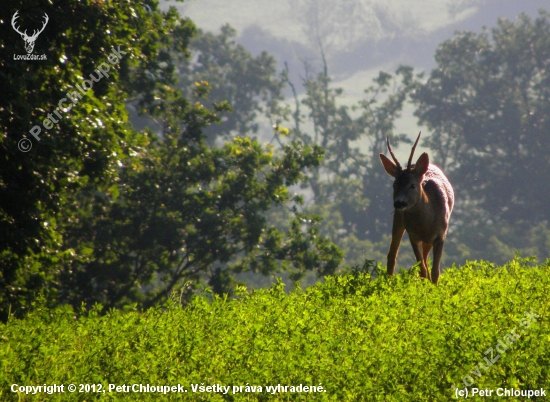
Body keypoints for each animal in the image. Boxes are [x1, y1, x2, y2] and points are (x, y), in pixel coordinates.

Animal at [382, 132, 454, 282]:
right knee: (392, 254)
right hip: (399, 219)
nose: (399, 203)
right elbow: (422, 270)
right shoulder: (413, 235)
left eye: (413, 185)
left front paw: (434, 286)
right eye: (394, 185)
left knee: (425, 259)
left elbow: (435, 270)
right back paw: (388, 281)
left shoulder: (441, 234)